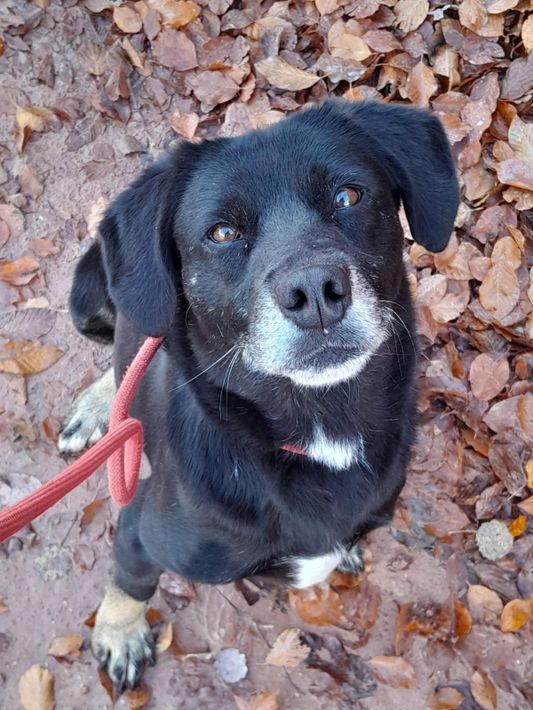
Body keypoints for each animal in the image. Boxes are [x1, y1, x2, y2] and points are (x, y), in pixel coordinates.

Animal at [58, 98, 458, 691]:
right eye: (222, 232)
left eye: (348, 196)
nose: (314, 291)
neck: (322, 431)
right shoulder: (140, 530)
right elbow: (130, 582)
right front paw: (119, 633)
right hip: (87, 296)